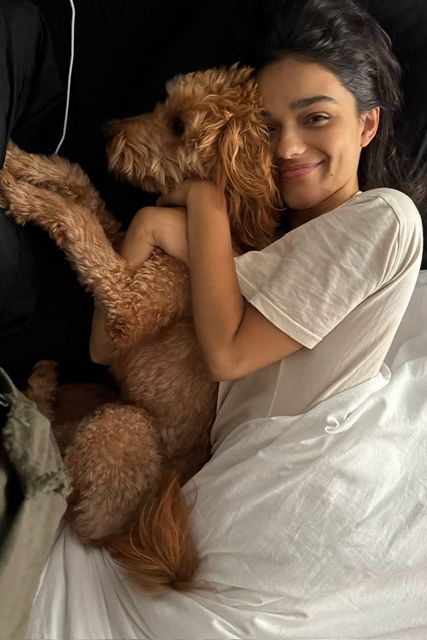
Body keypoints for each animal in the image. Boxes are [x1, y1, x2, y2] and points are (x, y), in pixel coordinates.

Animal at [0, 63, 282, 592]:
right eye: (164, 102)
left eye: (179, 125)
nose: (107, 130)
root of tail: (130, 531)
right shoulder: (123, 242)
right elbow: (81, 186)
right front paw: (17, 160)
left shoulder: (127, 298)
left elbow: (78, 220)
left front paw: (21, 193)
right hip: (94, 400)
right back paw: (42, 388)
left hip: (124, 427)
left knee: (65, 493)